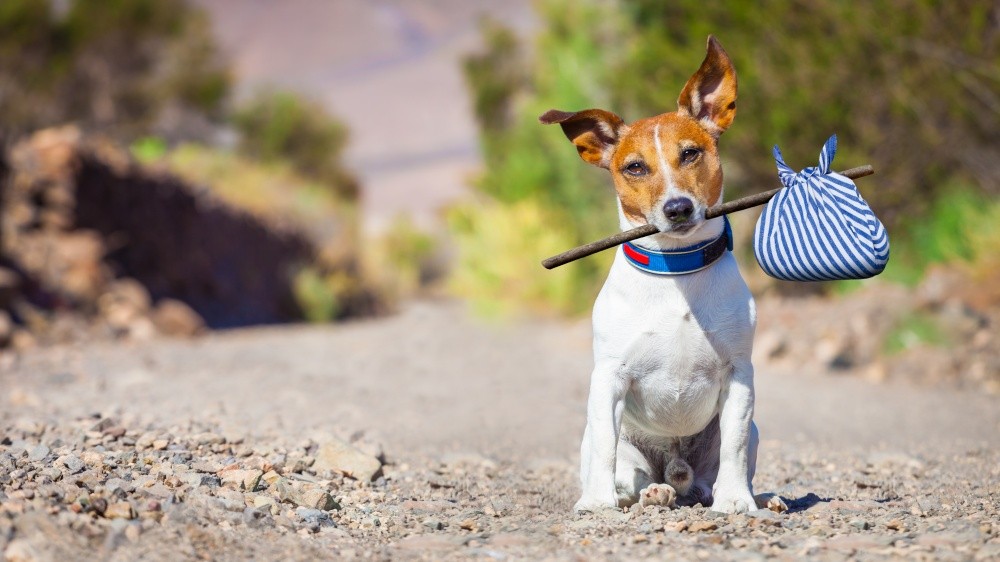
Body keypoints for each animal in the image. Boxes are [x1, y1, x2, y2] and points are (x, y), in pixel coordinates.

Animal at [544, 37, 776, 516]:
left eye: (690, 153)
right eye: (634, 167)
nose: (678, 208)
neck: (677, 270)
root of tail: (675, 469)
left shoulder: (739, 376)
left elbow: (734, 447)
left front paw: (737, 501)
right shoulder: (608, 378)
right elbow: (606, 449)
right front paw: (596, 503)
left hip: (748, 432)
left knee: (713, 475)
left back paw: (752, 495)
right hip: (612, 443)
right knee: (627, 474)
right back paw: (650, 492)